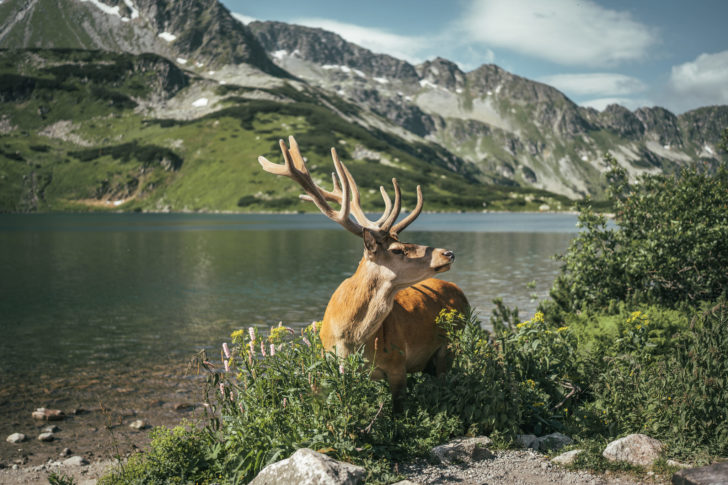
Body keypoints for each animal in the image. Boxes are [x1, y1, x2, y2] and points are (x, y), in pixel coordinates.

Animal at [258, 136, 470, 408]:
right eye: (398, 249)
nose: (448, 253)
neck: (351, 338)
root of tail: (461, 293)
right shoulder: (328, 367)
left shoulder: (398, 363)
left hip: (450, 346)